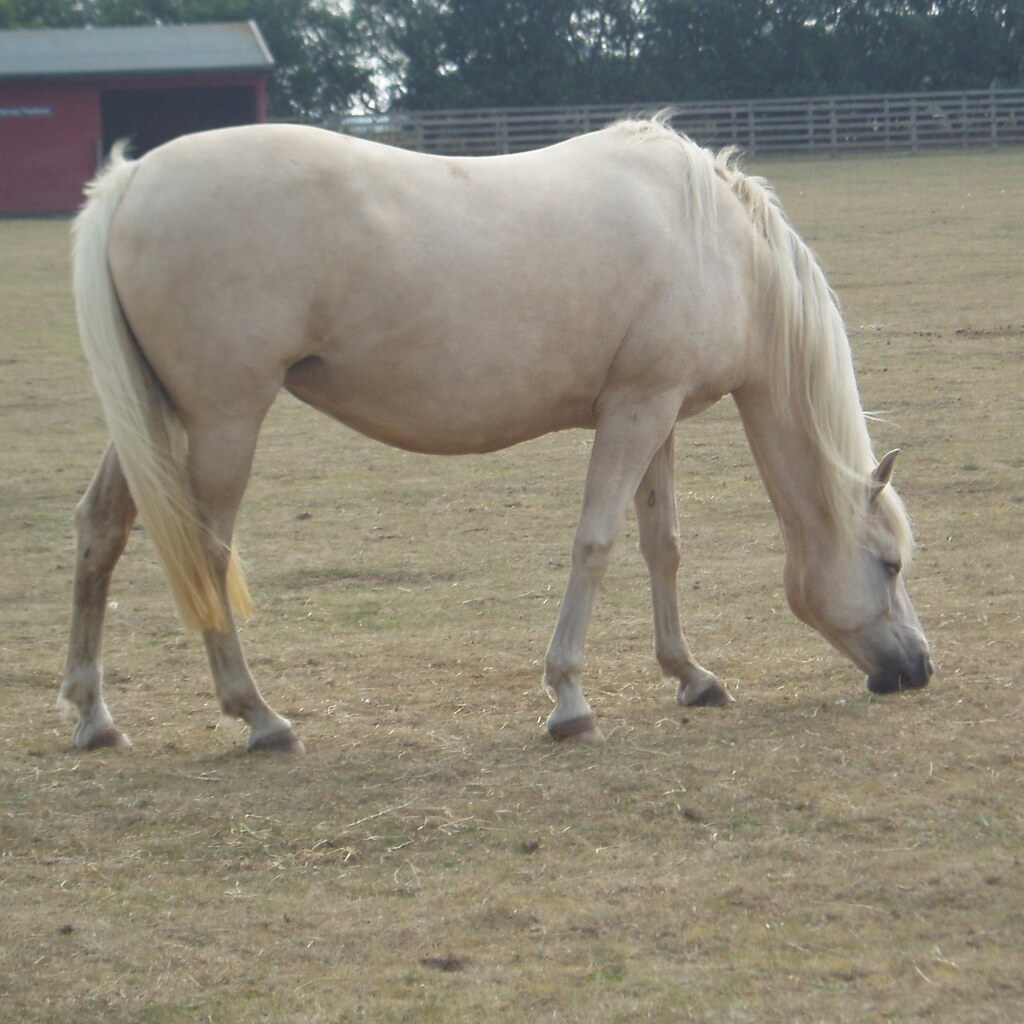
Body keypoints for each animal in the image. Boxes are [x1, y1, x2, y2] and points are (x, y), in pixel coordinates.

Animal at [61, 118, 932, 753]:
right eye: (888, 564)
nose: (919, 669)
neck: (720, 244)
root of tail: (131, 181)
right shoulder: (636, 412)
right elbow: (596, 544)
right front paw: (570, 699)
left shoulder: (657, 415)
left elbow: (662, 546)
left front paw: (690, 675)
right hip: (223, 419)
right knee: (208, 552)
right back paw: (258, 715)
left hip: (155, 415)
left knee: (102, 528)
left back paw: (93, 714)